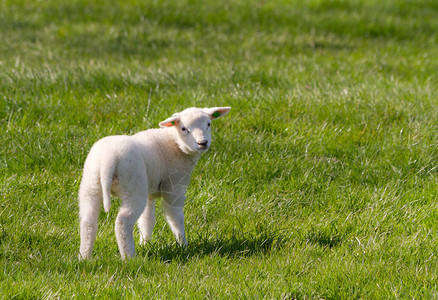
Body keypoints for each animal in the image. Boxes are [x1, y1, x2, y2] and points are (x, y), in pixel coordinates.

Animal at [78, 106, 231, 258]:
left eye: (208, 124)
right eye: (183, 128)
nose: (202, 143)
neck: (174, 143)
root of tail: (107, 161)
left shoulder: (149, 192)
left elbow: (147, 220)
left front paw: (144, 243)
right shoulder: (174, 187)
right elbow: (175, 218)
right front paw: (183, 245)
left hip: (91, 186)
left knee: (88, 222)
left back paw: (85, 257)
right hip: (134, 188)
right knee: (123, 222)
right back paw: (129, 258)